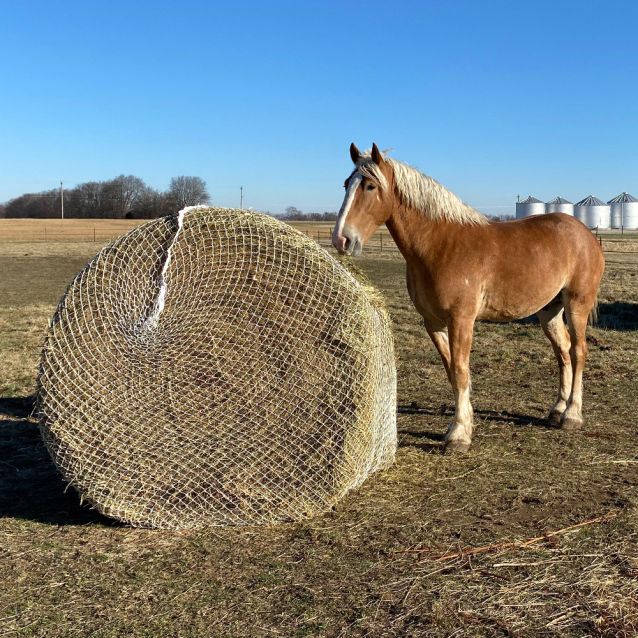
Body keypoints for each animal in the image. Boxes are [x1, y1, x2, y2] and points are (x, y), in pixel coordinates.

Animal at [332, 145, 608, 456]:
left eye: (369, 186)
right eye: (346, 184)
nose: (341, 239)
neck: (439, 245)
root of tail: (586, 234)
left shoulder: (461, 320)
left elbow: (461, 370)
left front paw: (459, 434)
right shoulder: (433, 323)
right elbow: (451, 371)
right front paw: (464, 422)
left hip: (577, 305)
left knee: (578, 352)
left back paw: (572, 415)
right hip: (549, 311)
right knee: (562, 352)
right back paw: (557, 409)